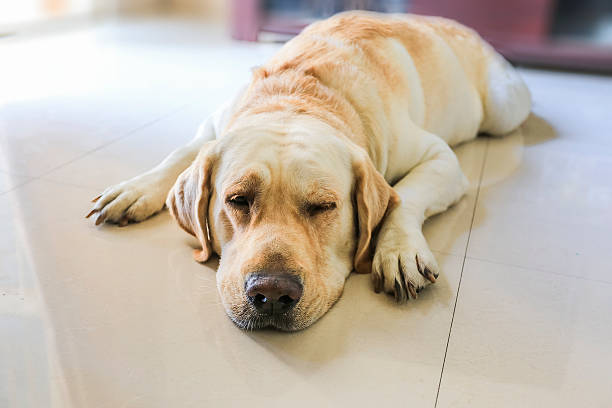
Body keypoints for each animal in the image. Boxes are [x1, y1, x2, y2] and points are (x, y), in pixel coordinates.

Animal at [86, 11, 532, 332]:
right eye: (237, 200)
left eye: (324, 207)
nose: (271, 294)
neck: (300, 95)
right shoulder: (214, 126)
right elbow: (178, 153)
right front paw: (134, 189)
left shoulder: (440, 157)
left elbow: (405, 197)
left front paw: (399, 250)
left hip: (503, 106)